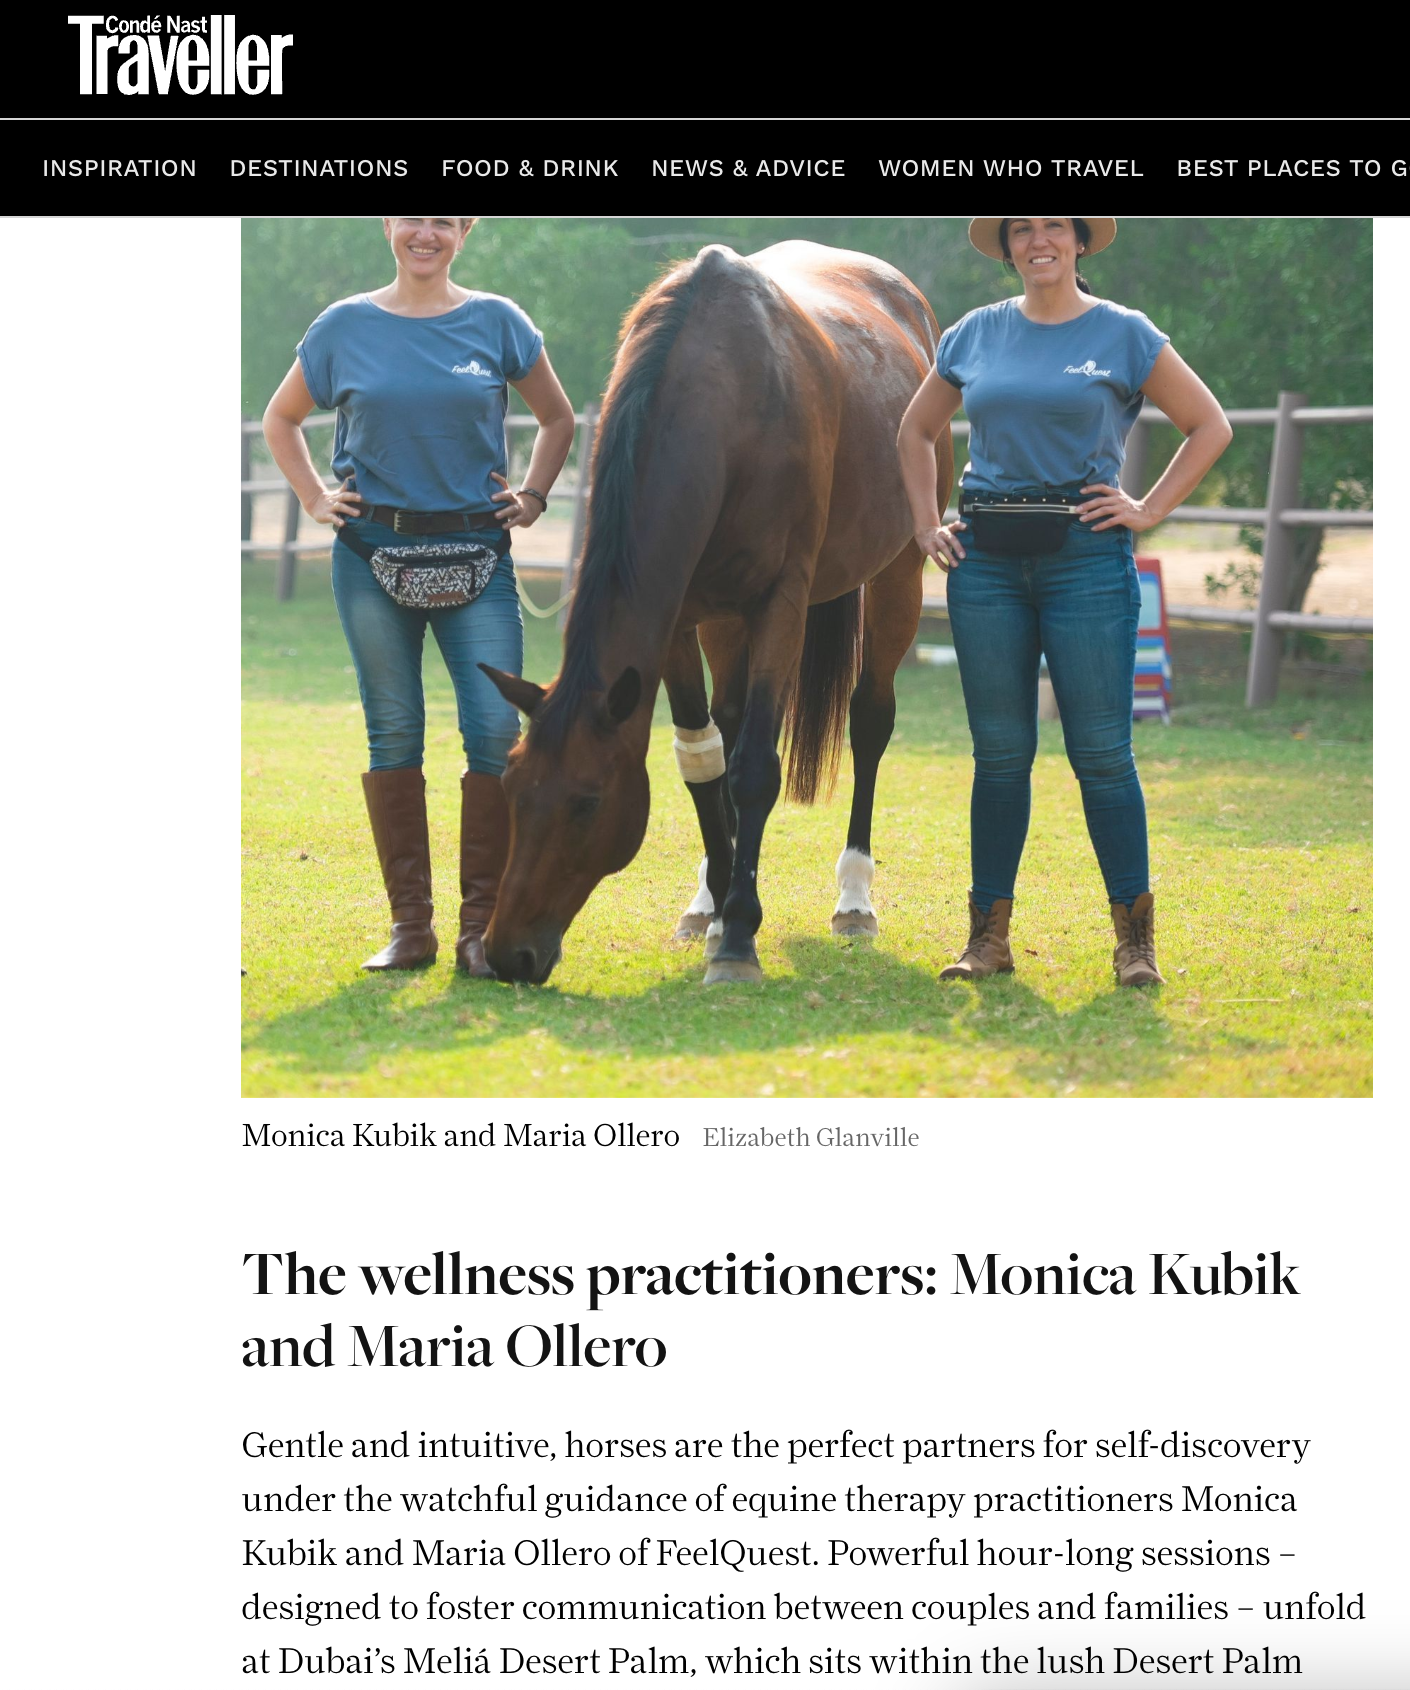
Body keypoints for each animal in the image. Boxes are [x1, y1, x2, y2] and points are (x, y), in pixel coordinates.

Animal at [481, 240, 951, 986]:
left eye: (587, 802)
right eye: (512, 787)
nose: (507, 954)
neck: (725, 398)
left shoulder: (781, 602)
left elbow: (755, 764)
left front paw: (738, 940)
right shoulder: (676, 617)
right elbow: (703, 761)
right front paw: (725, 907)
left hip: (897, 573)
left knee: (870, 720)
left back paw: (854, 897)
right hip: (725, 621)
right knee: (726, 728)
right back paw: (712, 897)